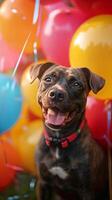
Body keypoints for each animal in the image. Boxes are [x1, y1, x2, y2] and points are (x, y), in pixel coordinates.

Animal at [29, 62, 108, 200]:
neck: (58, 141)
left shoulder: (87, 190)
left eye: (76, 84)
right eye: (48, 79)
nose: (56, 94)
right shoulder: (43, 183)